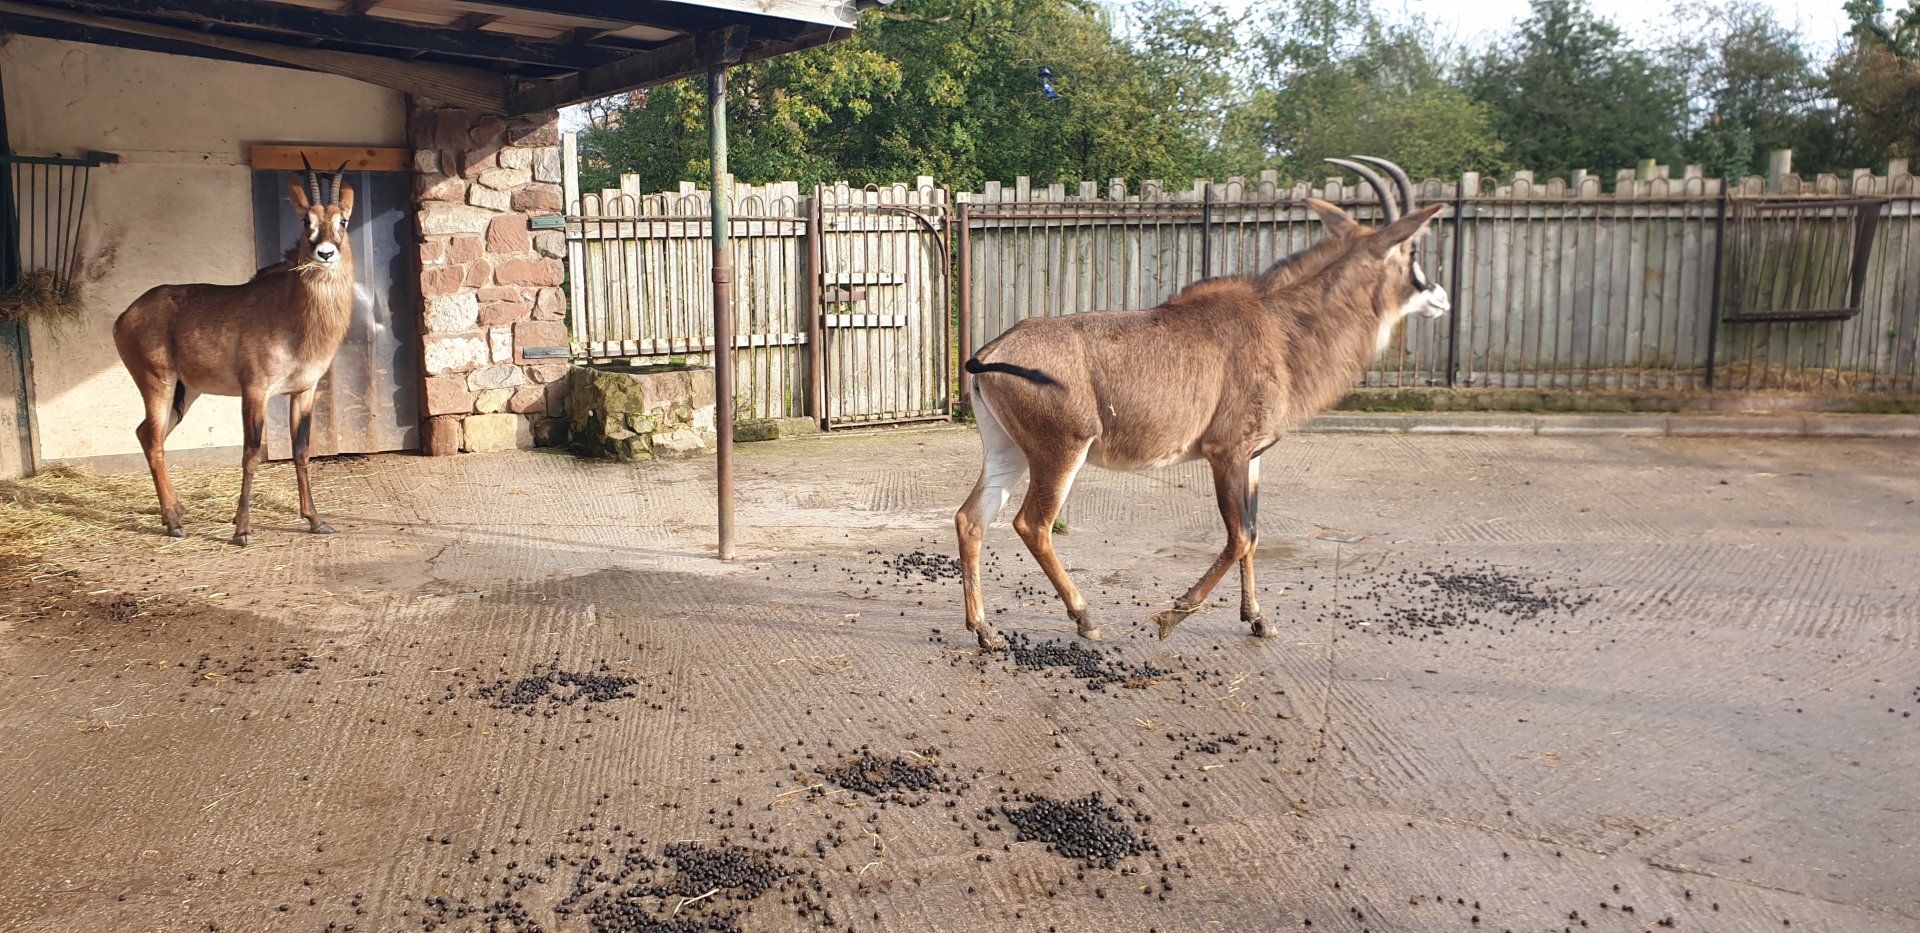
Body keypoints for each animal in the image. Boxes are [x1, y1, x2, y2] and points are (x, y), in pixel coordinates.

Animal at [114, 157, 356, 546]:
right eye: (307, 221)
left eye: (342, 221)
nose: (325, 253)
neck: (292, 313)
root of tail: (125, 315)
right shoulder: (254, 390)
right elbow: (251, 454)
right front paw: (241, 529)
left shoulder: (304, 390)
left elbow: (302, 450)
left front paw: (315, 520)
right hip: (157, 382)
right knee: (152, 439)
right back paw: (173, 522)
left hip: (186, 391)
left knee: (147, 434)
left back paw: (177, 510)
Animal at [954, 156, 1449, 650]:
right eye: (1413, 252)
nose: (1441, 298)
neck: (1279, 327)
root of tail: (991, 351)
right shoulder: (1225, 452)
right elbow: (1240, 536)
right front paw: (1172, 616)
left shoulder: (1252, 457)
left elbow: (1254, 532)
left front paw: (1258, 619)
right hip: (1060, 452)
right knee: (1033, 524)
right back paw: (1085, 618)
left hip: (1009, 451)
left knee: (970, 518)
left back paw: (985, 630)